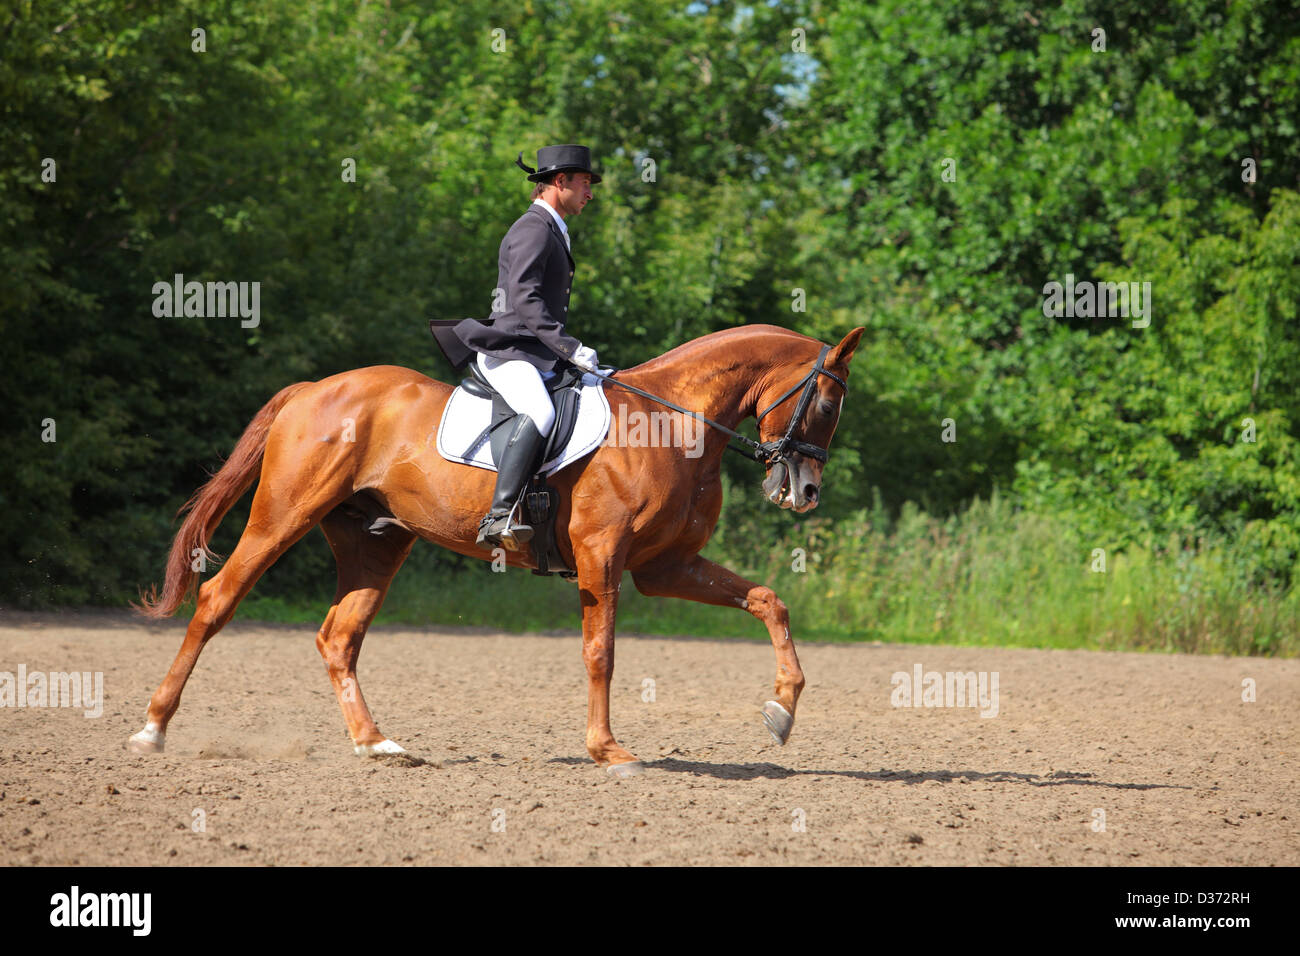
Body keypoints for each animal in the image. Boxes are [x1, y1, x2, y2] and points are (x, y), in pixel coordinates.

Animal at [131, 325, 863, 775]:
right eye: (828, 404)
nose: (803, 492)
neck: (670, 423)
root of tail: (312, 389)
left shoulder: (664, 567)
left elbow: (769, 600)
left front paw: (782, 710)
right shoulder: (603, 558)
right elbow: (601, 652)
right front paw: (608, 750)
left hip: (375, 542)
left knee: (339, 637)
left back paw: (377, 744)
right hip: (283, 515)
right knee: (217, 600)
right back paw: (153, 728)